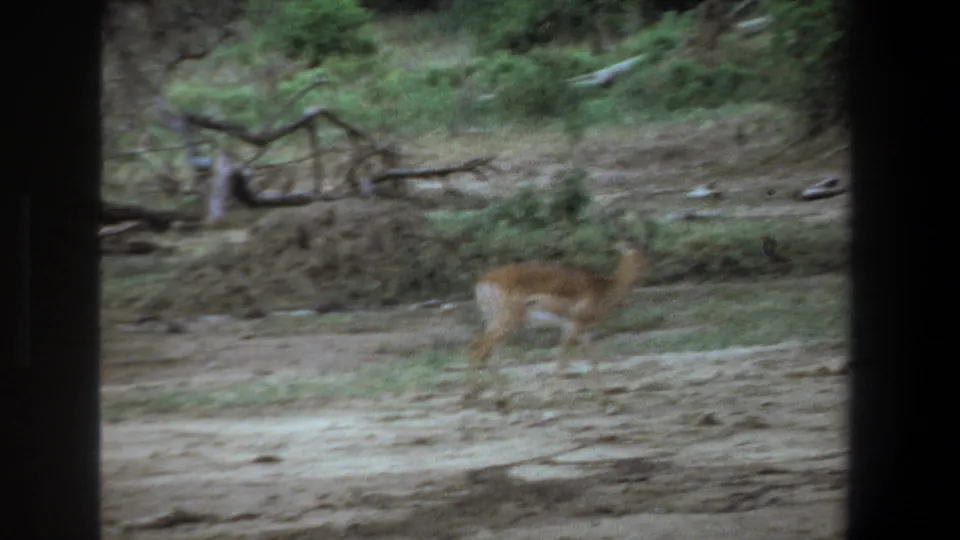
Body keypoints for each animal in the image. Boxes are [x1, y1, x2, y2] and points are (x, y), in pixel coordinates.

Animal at [465, 224, 656, 407]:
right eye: (638, 256)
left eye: (646, 254)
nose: (650, 271)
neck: (604, 290)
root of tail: (481, 283)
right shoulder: (574, 325)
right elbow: (562, 358)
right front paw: (548, 398)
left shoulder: (582, 329)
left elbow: (592, 359)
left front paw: (604, 399)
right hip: (506, 319)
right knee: (478, 349)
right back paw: (471, 397)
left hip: (496, 321)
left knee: (489, 354)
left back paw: (501, 401)